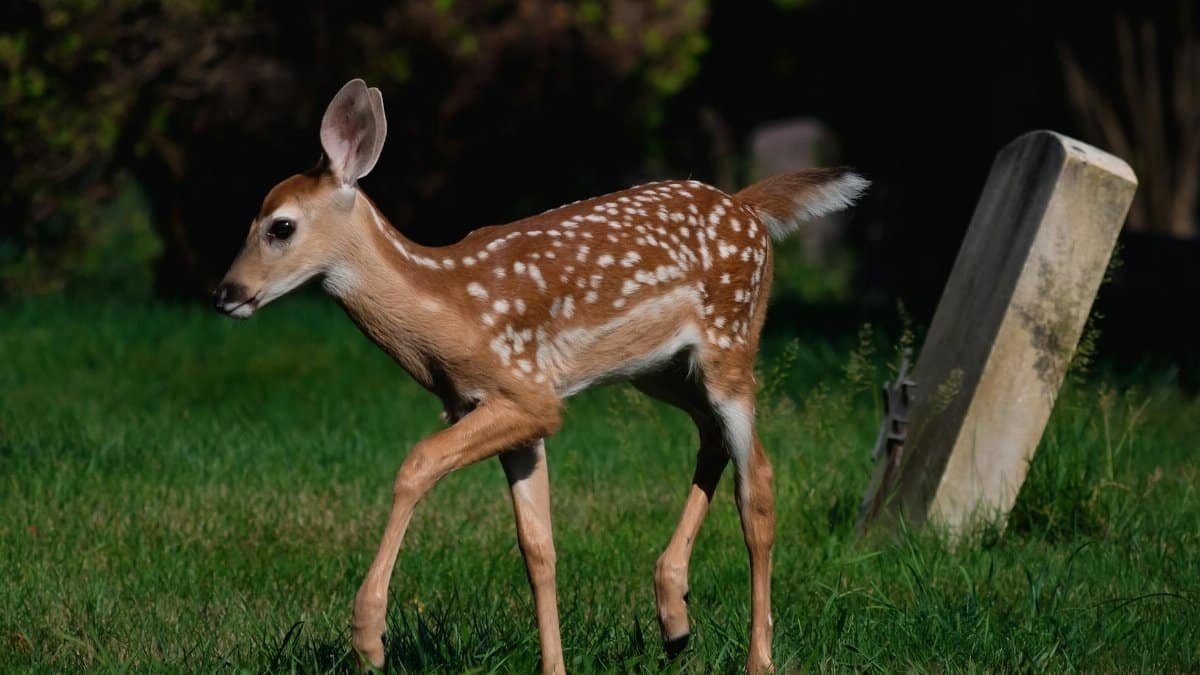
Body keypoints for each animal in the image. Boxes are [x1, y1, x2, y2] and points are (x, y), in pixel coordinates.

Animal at [213, 79, 867, 674]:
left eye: (280, 226)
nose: (226, 293)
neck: (449, 310)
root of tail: (750, 208)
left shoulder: (527, 394)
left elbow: (417, 464)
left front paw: (369, 638)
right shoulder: (512, 415)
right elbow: (538, 548)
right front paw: (554, 666)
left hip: (732, 342)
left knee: (758, 482)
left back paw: (758, 658)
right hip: (660, 370)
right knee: (713, 442)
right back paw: (674, 616)